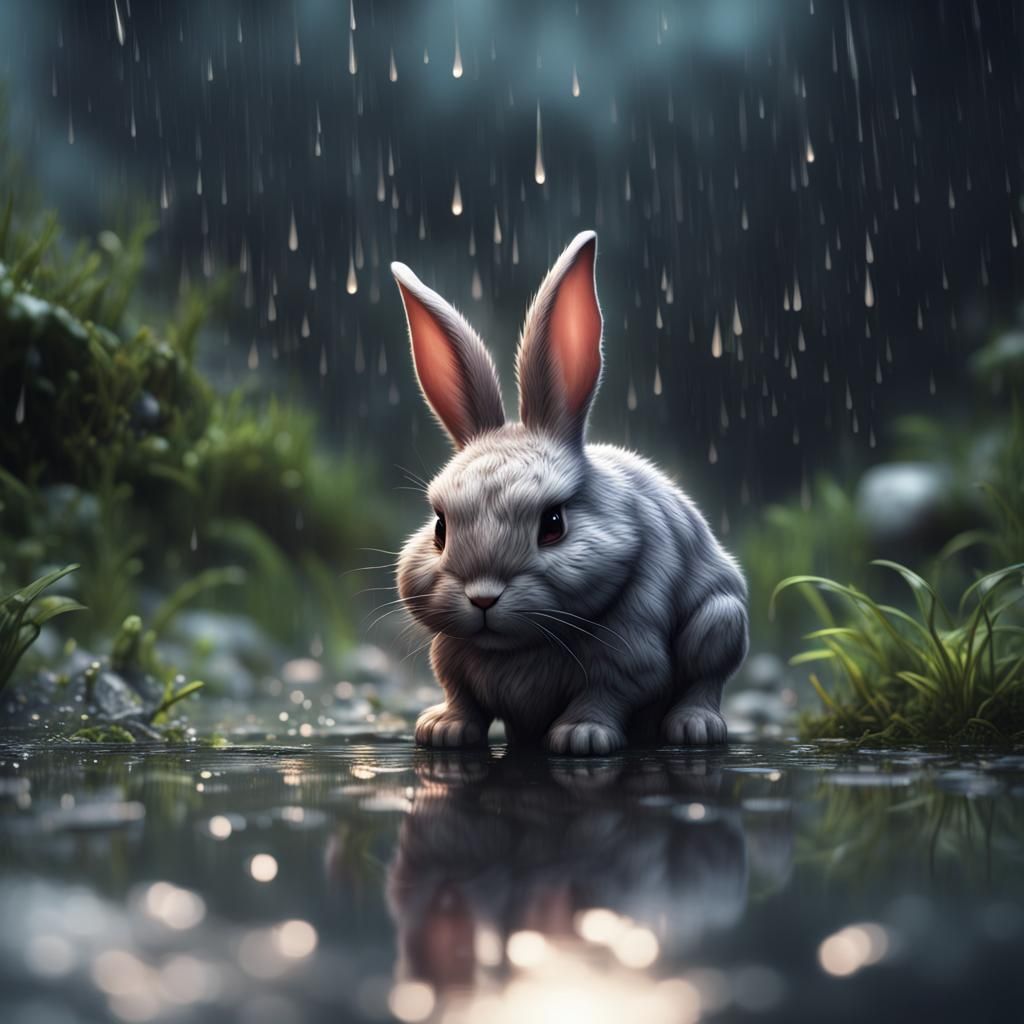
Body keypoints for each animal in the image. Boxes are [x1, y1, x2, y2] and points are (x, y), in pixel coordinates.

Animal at [389, 230, 748, 755]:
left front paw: (583, 737)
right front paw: (442, 730)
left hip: (721, 620)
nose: (482, 599)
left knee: (706, 679)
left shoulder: (630, 650)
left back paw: (694, 728)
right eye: (439, 528)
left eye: (553, 525)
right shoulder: (451, 659)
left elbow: (607, 691)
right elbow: (463, 698)